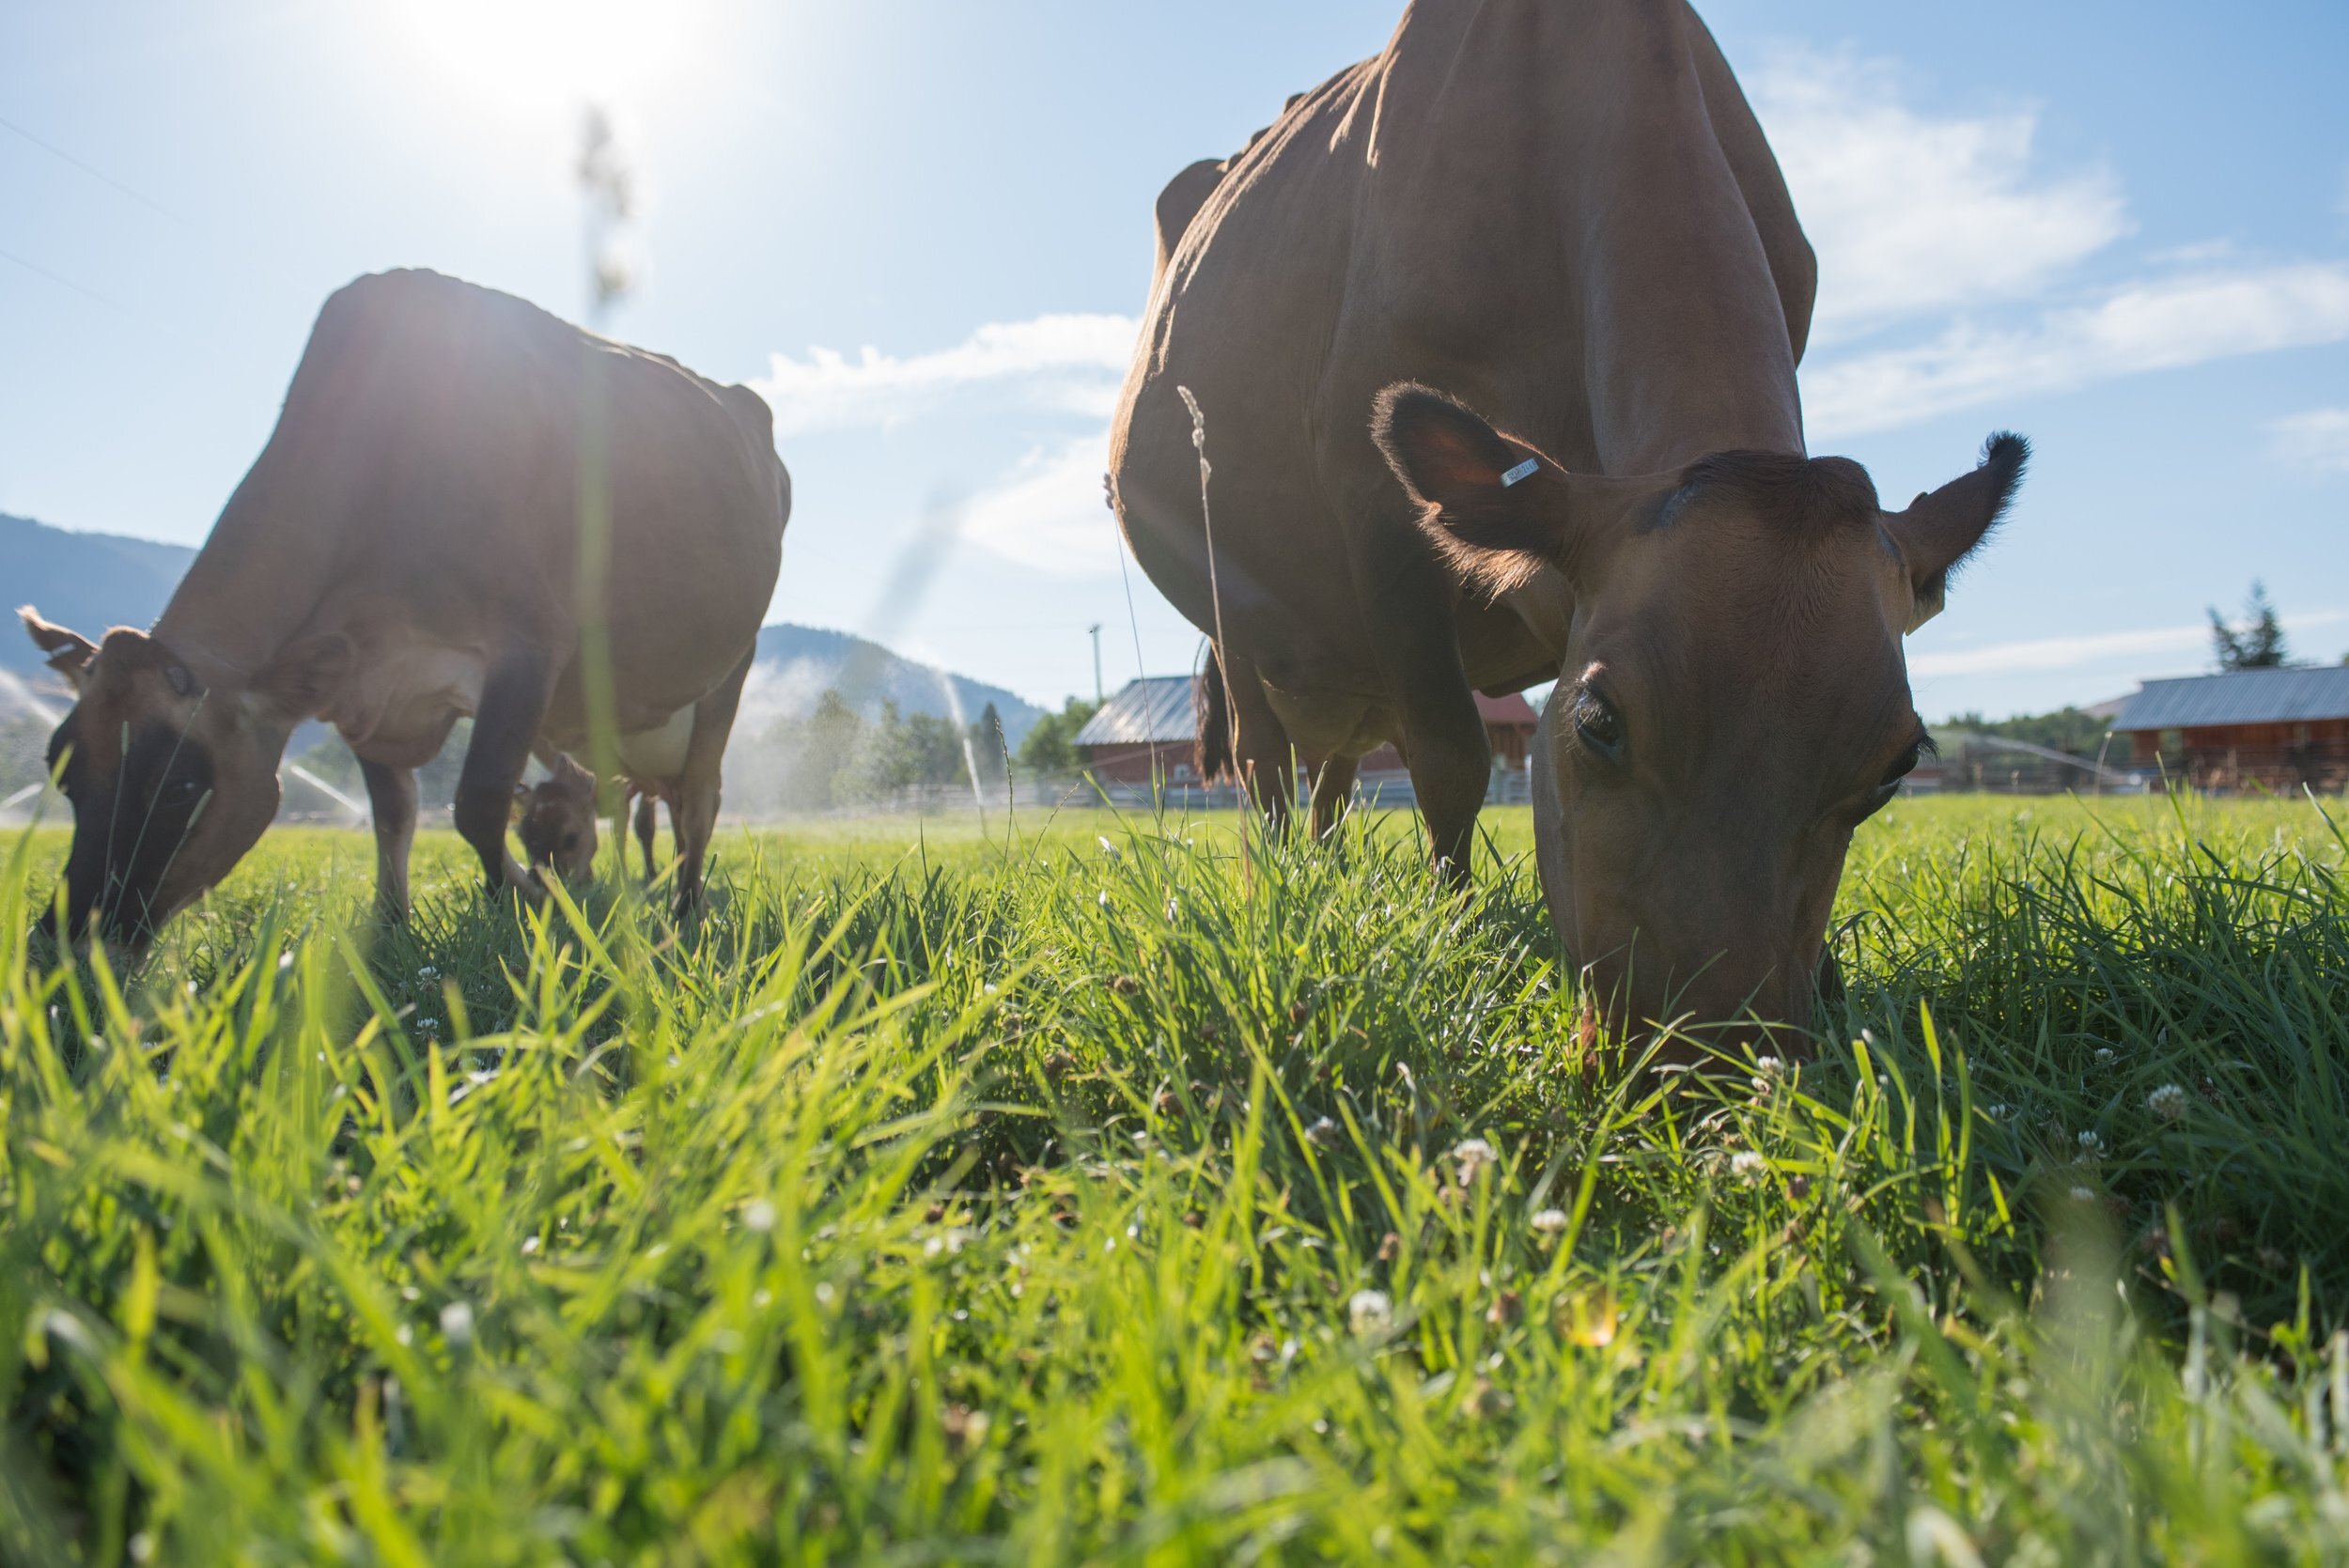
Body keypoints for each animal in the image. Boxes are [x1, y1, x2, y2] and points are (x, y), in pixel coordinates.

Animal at [24, 268, 788, 952]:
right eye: (59, 765)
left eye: (181, 784)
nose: (66, 942)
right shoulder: (365, 686)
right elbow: (395, 815)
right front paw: (392, 924)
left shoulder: (530, 645)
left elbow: (478, 801)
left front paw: (532, 899)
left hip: (729, 670)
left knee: (698, 801)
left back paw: (685, 911)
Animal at [1106, 0, 2025, 1037]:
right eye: (1598, 721)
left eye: (1899, 764)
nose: (1707, 1052)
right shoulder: (1373, 499)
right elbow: (1451, 757)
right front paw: (1454, 932)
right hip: (1242, 623)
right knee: (1267, 766)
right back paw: (1279, 894)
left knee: (1334, 778)